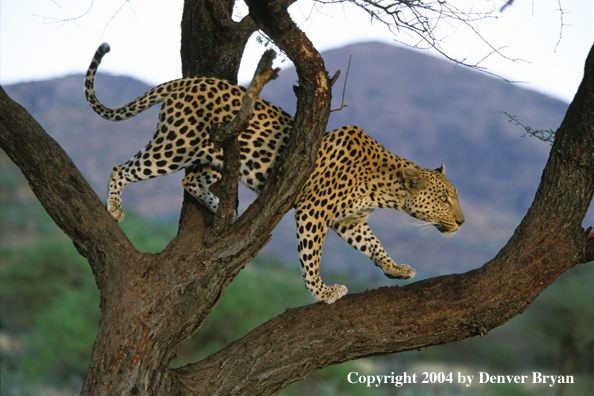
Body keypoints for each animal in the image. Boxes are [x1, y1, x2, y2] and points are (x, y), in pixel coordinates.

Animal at [83, 42, 462, 304]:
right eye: (445, 198)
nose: (461, 222)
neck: (385, 189)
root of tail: (186, 81)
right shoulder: (314, 211)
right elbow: (311, 256)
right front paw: (323, 292)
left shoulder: (350, 221)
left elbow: (374, 245)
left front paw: (395, 268)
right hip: (175, 145)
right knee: (124, 168)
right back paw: (115, 208)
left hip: (214, 155)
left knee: (191, 180)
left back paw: (226, 211)